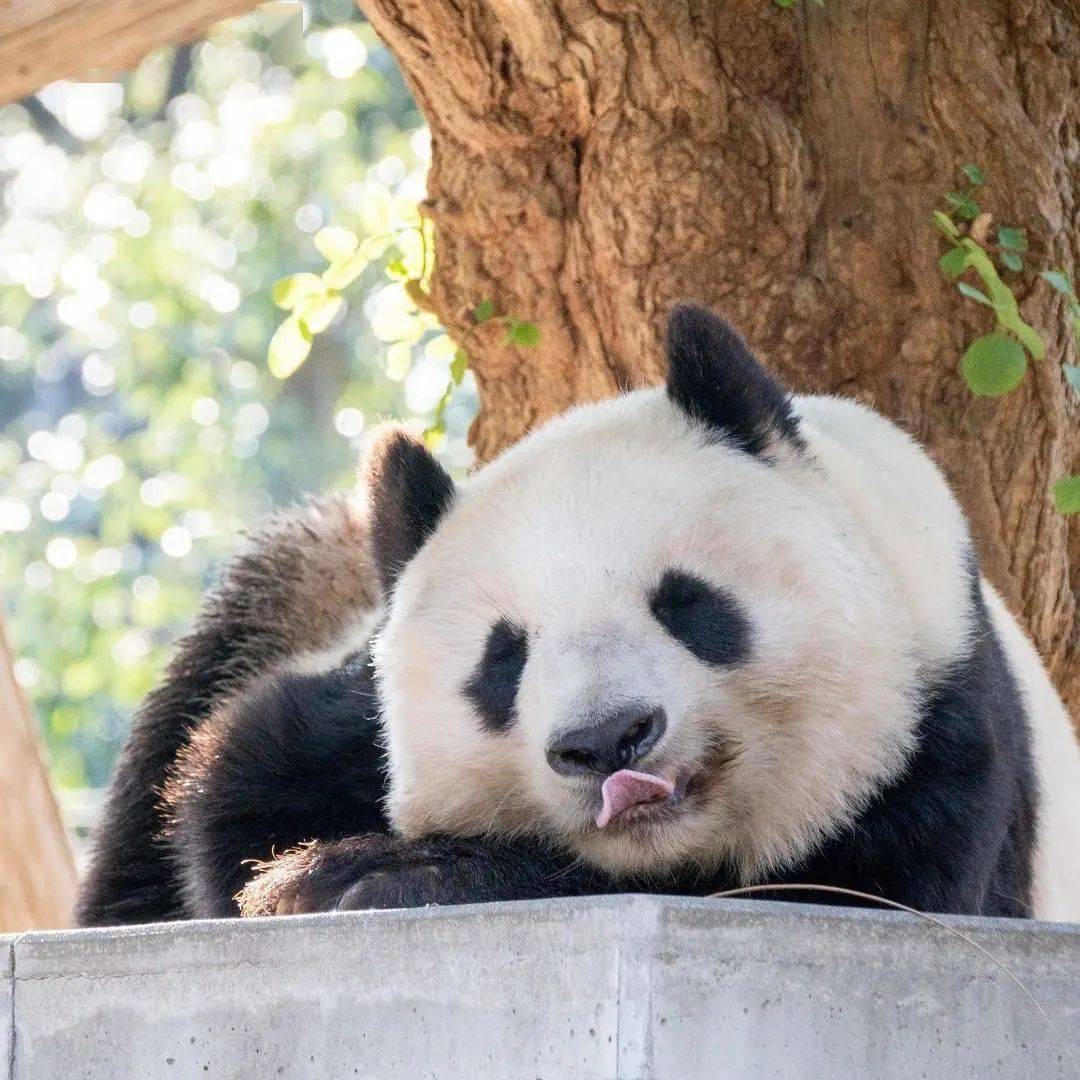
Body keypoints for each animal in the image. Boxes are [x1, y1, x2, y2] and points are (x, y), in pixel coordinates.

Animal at [79, 306, 1080, 928]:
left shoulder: (941, 718)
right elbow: (225, 801)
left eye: (688, 604)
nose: (607, 741)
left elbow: (849, 894)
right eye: (502, 661)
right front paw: (323, 872)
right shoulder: (345, 708)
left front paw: (381, 877)